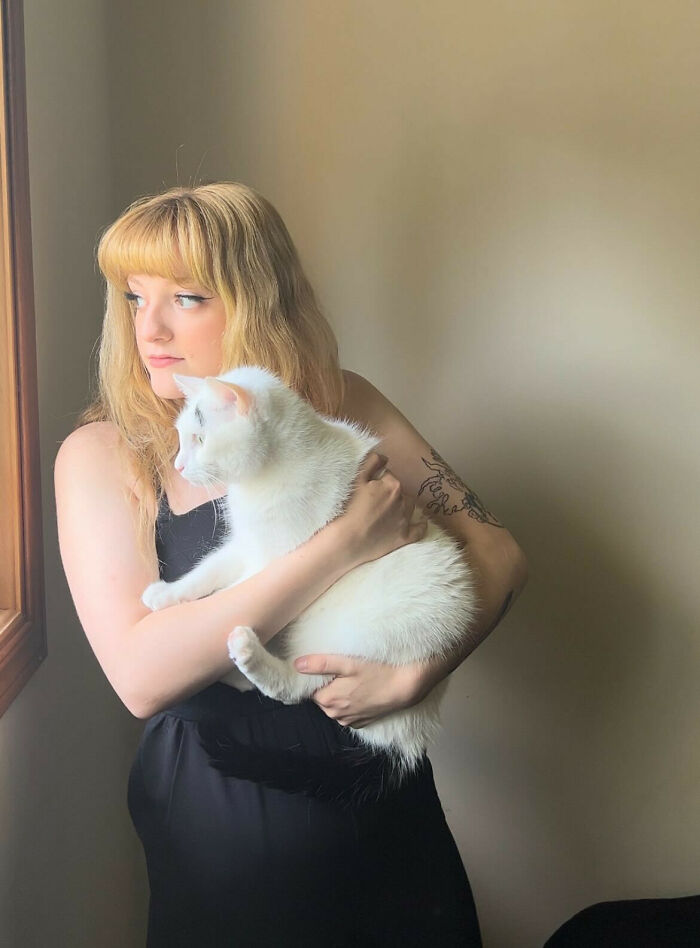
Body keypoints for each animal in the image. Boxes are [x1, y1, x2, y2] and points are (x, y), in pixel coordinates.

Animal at [144, 366, 482, 772]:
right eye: (182, 438)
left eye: (199, 438)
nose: (179, 466)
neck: (264, 476)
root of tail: (416, 728)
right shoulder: (245, 544)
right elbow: (207, 572)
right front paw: (167, 594)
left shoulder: (274, 558)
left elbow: (230, 592)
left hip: (347, 642)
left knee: (299, 687)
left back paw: (246, 653)